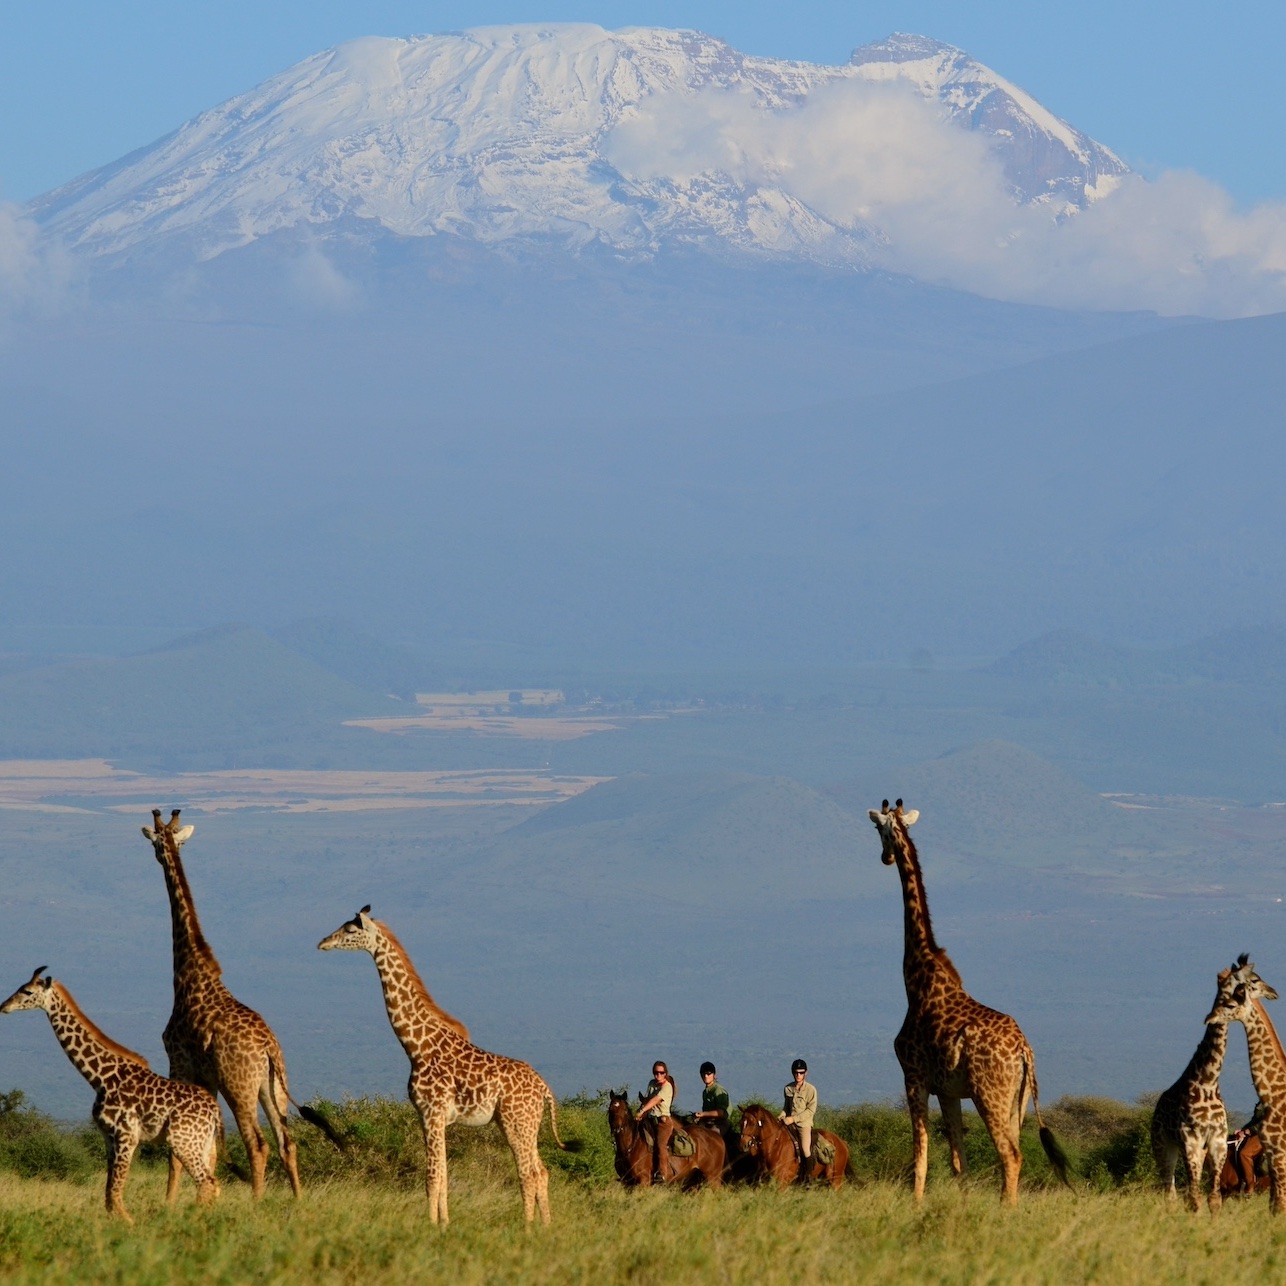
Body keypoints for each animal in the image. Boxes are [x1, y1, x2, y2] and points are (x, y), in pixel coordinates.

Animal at [1, 967, 221, 1224]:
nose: (4, 1006)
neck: (100, 1078)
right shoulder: (108, 1137)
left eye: (27, 991)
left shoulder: (127, 1136)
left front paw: (130, 1225)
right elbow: (108, 1194)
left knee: (206, 1182)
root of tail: (214, 1110)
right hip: (204, 1143)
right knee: (213, 1184)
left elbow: (115, 1192)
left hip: (183, 1141)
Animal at [140, 807, 300, 1198]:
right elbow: (208, 1150)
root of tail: (268, 1049)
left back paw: (256, 1204)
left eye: (156, 842)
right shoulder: (205, 1078)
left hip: (238, 1086)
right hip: (273, 1087)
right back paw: (298, 1202)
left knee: (258, 1144)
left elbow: (177, 1153)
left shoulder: (180, 1062)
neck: (190, 973)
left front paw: (169, 1204)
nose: (159, 854)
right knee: (287, 1142)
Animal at [316, 905, 578, 1224]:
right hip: (523, 1124)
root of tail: (545, 1089)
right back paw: (545, 1226)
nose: (323, 943)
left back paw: (527, 1227)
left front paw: (431, 1226)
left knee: (529, 1173)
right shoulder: (430, 1116)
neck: (417, 1046)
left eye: (351, 930)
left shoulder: (432, 1112)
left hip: (517, 1121)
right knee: (542, 1171)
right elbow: (441, 1175)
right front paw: (444, 1224)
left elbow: (431, 1177)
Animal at [869, 797, 1069, 1198]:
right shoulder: (947, 1089)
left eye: (879, 829)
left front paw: (916, 1204)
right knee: (1015, 1152)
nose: (884, 857)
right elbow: (958, 1160)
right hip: (1016, 1101)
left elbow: (920, 1156)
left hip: (989, 1094)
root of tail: (1025, 1053)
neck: (917, 978)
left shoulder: (913, 1076)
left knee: (1011, 1156)